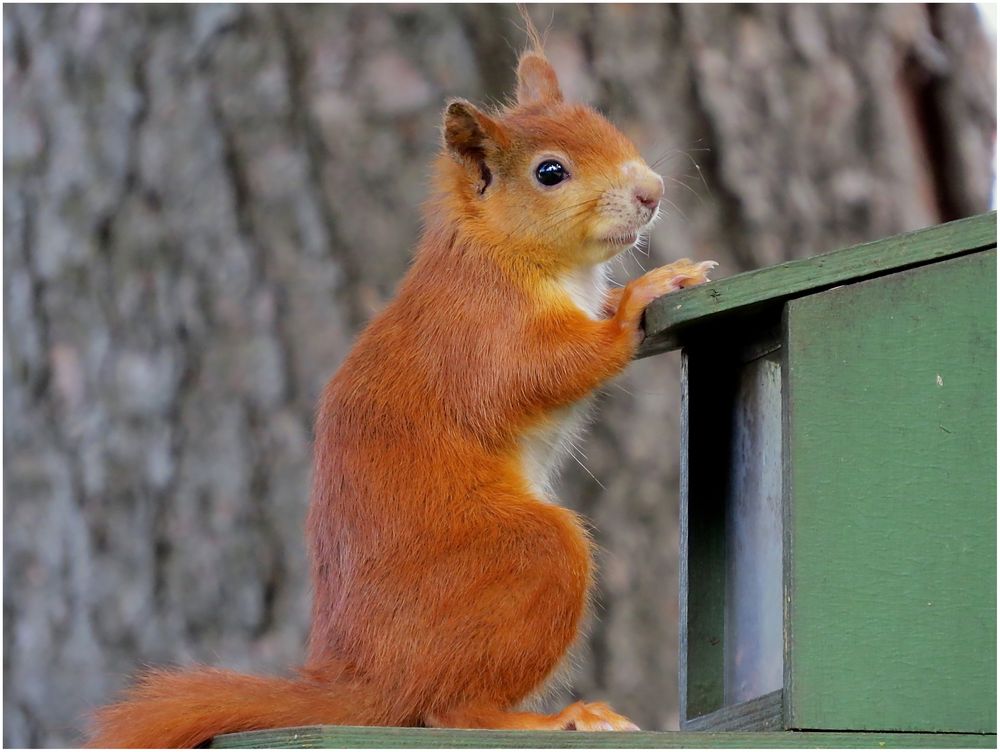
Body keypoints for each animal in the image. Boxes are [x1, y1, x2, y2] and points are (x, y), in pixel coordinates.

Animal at [84, 22, 712, 748]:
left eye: (607, 124)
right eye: (550, 172)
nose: (652, 191)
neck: (504, 253)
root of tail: (370, 682)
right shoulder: (481, 334)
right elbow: (550, 368)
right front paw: (643, 294)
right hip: (528, 557)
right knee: (453, 709)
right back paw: (560, 716)